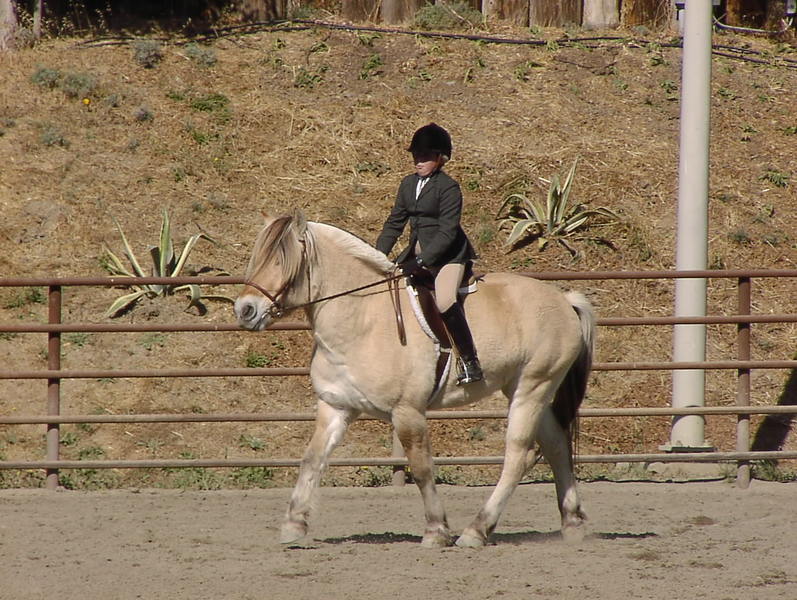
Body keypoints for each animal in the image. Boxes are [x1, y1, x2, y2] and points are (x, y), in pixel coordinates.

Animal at [234, 210, 596, 548]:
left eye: (281, 260)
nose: (245, 310)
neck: (362, 320)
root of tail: (564, 300)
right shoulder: (335, 406)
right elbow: (312, 459)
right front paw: (294, 525)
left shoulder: (407, 412)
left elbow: (421, 468)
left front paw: (436, 530)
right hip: (528, 389)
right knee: (556, 444)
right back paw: (572, 524)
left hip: (532, 386)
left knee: (519, 454)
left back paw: (476, 530)